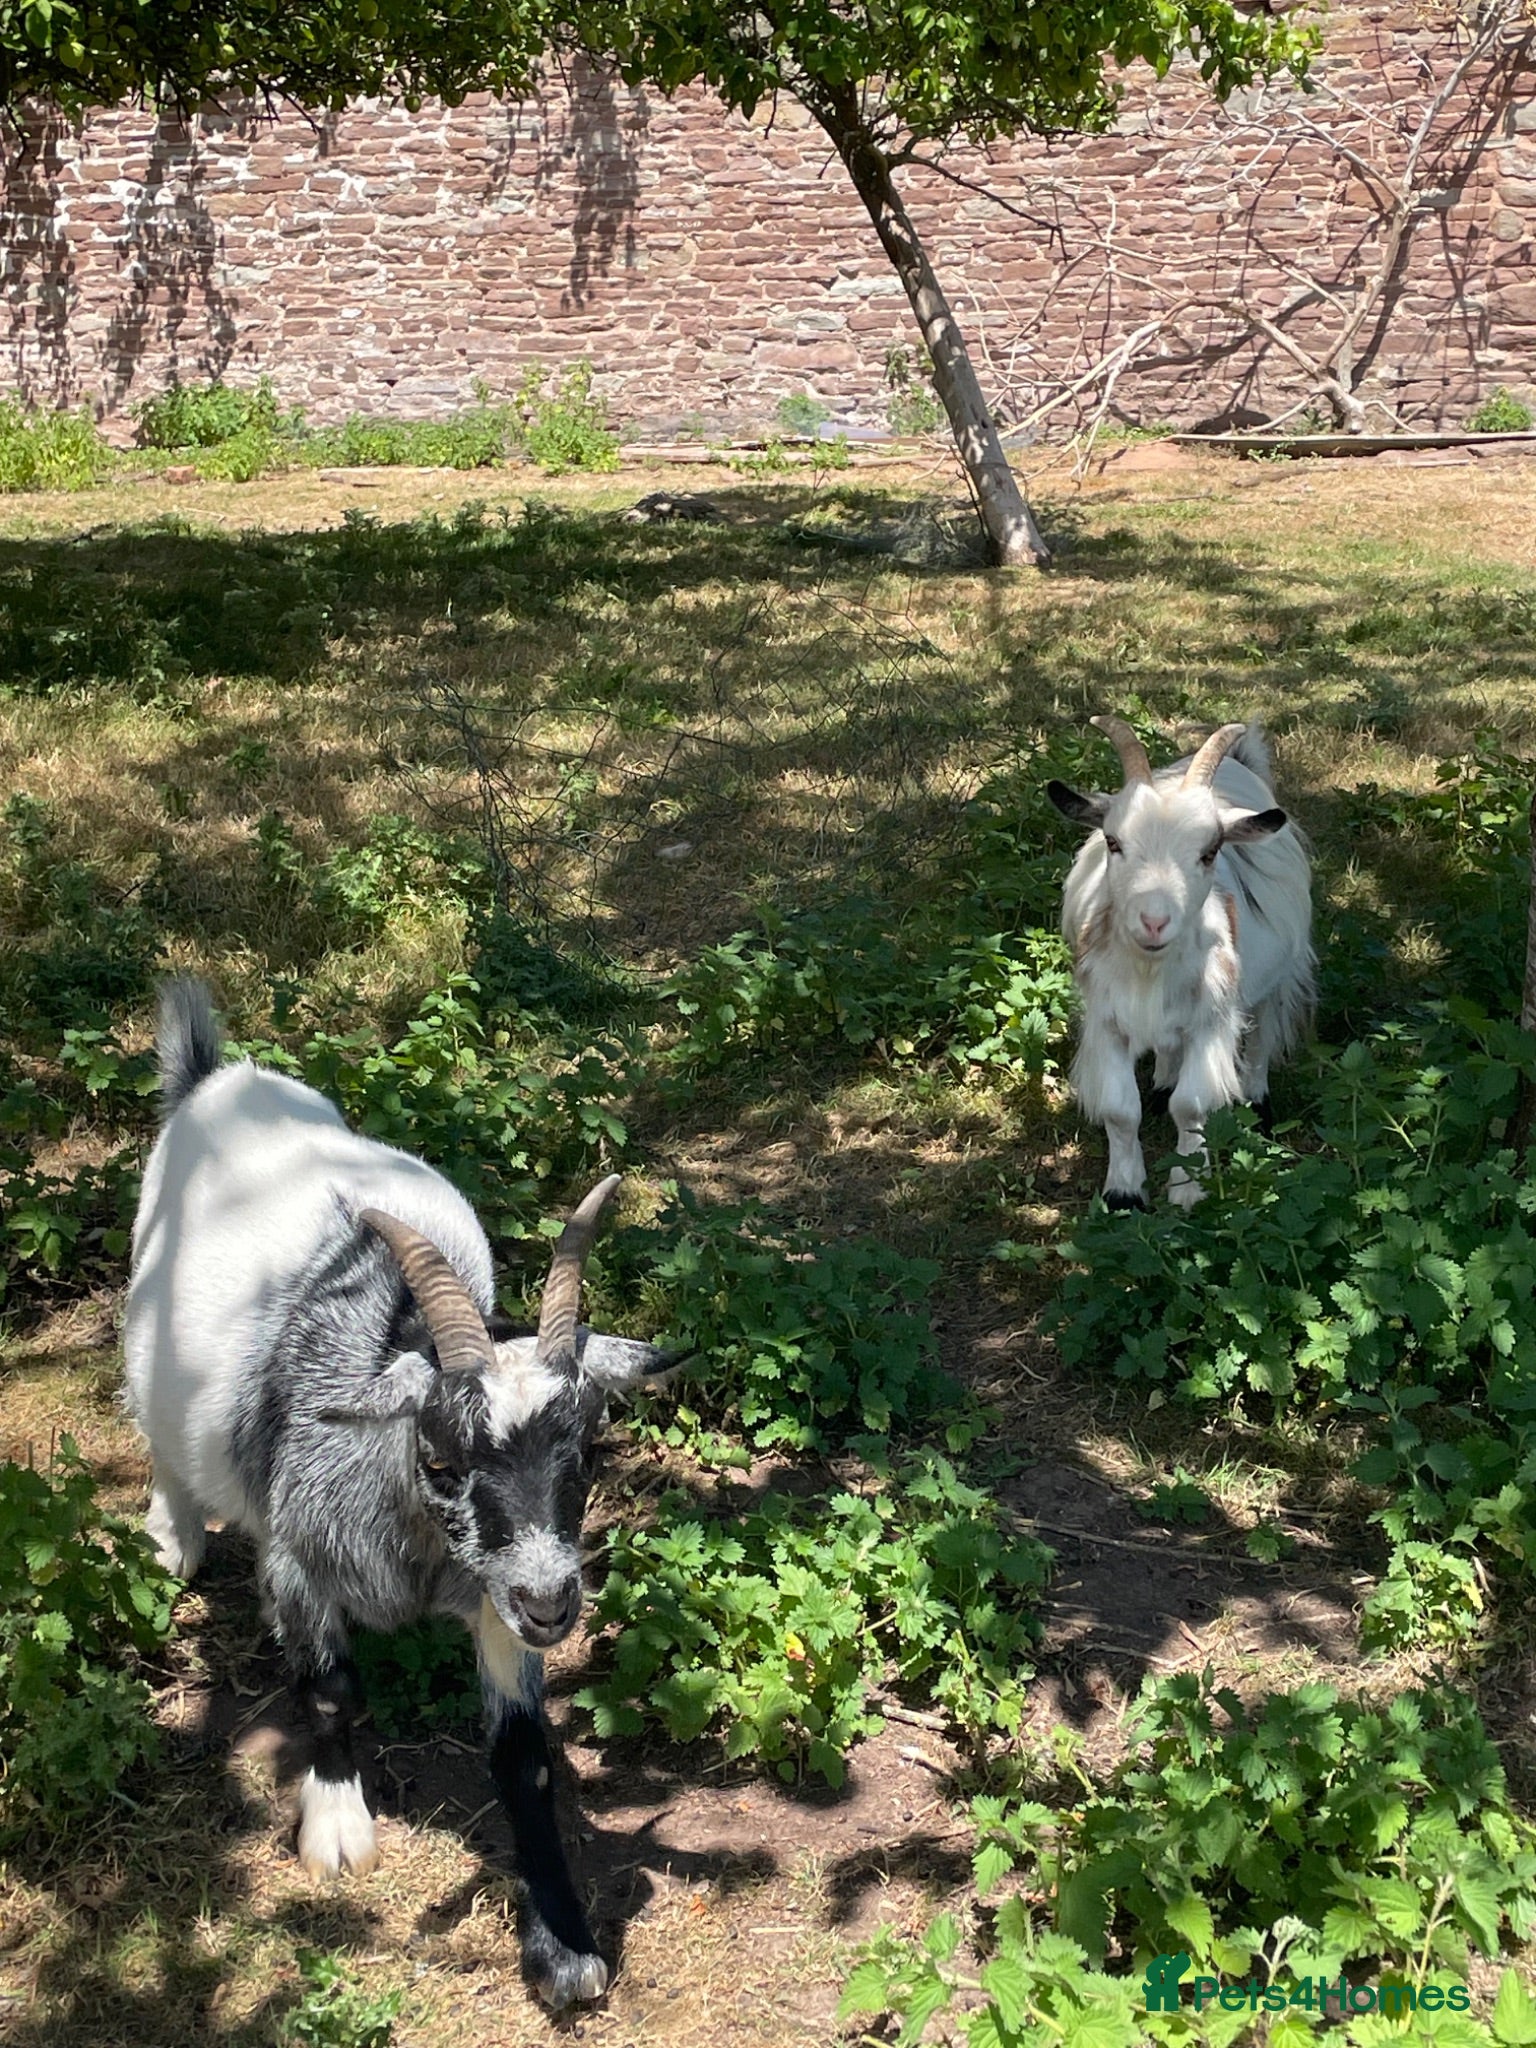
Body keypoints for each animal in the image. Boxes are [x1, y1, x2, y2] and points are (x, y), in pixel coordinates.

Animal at [124, 978, 671, 2007]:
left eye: (585, 1454)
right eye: (442, 1461)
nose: (554, 1604)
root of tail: (218, 1076)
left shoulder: (494, 1593)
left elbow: (524, 1759)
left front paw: (564, 1946)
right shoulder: (300, 1556)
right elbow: (331, 1688)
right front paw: (337, 1828)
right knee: (164, 1440)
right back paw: (170, 1540)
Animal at [1047, 717, 1315, 1209]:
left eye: (1209, 852)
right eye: (1112, 842)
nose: (1154, 922)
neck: (1149, 973)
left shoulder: (1211, 1021)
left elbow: (1190, 1106)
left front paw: (1189, 1188)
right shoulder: (1107, 1020)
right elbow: (1121, 1110)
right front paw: (1124, 1193)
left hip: (1279, 975)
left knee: (1262, 1040)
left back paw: (1257, 1107)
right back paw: (1162, 1082)